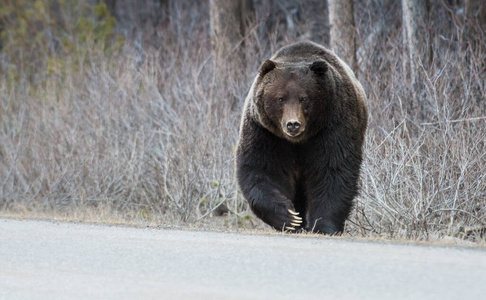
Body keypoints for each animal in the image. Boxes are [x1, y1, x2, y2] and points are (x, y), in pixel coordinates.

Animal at [236, 41, 368, 234]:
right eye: (280, 98)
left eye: (304, 98)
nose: (293, 124)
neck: (298, 141)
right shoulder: (265, 133)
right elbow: (261, 169)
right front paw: (291, 218)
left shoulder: (333, 126)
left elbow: (334, 169)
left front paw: (324, 225)